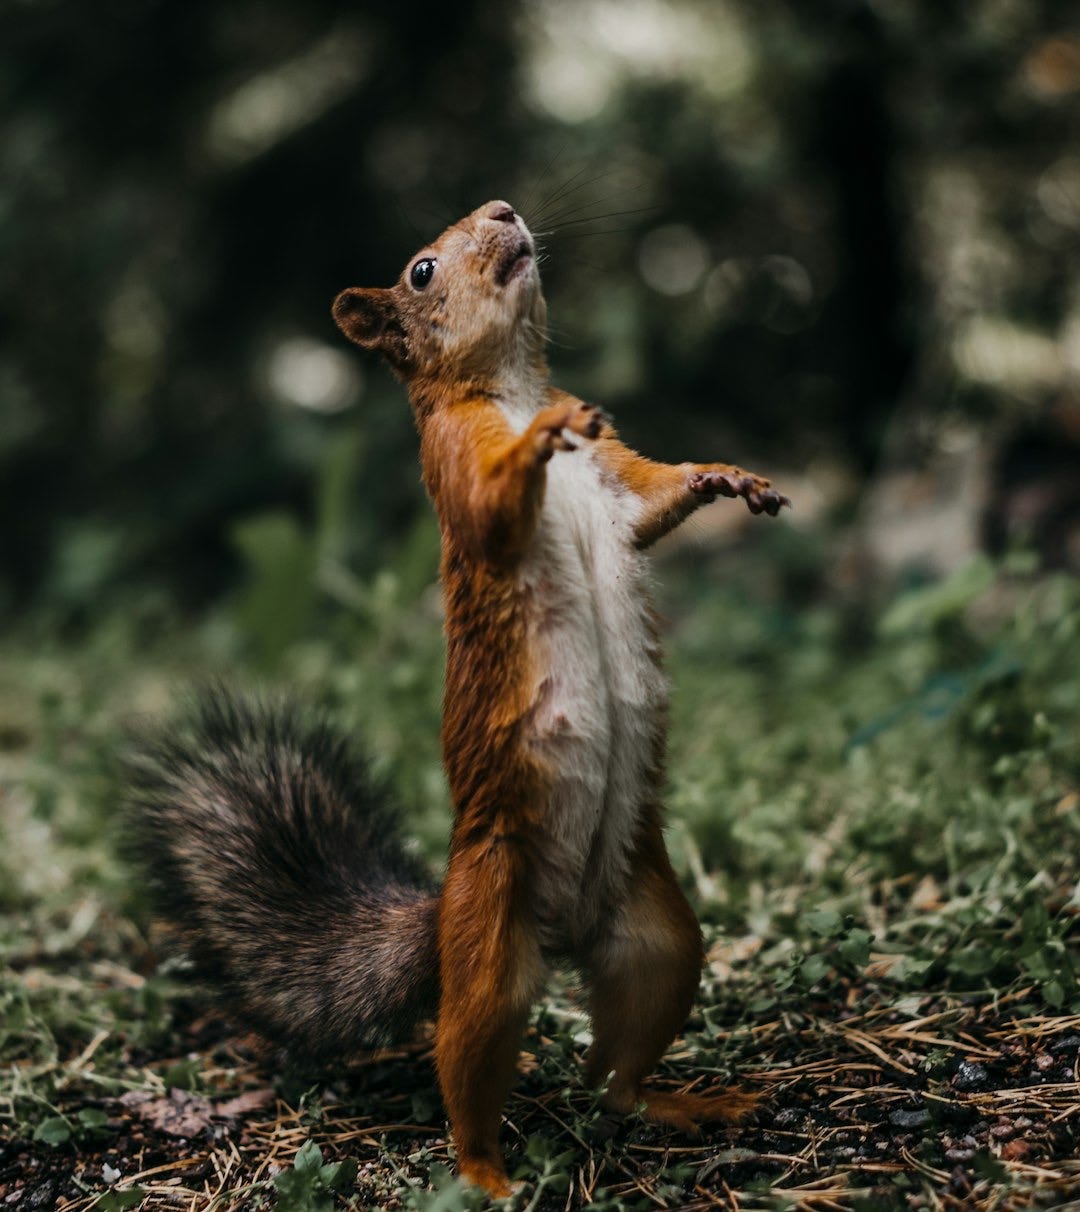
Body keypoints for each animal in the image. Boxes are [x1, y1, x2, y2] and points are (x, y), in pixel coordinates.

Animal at [129, 200, 790, 1198]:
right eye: (421, 271)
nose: (504, 211)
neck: (509, 385)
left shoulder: (618, 479)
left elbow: (653, 500)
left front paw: (726, 476)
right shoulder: (453, 461)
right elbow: (489, 505)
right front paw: (544, 434)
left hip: (660, 940)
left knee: (614, 1076)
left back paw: (680, 1103)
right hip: (488, 948)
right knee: (467, 1059)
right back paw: (486, 1173)